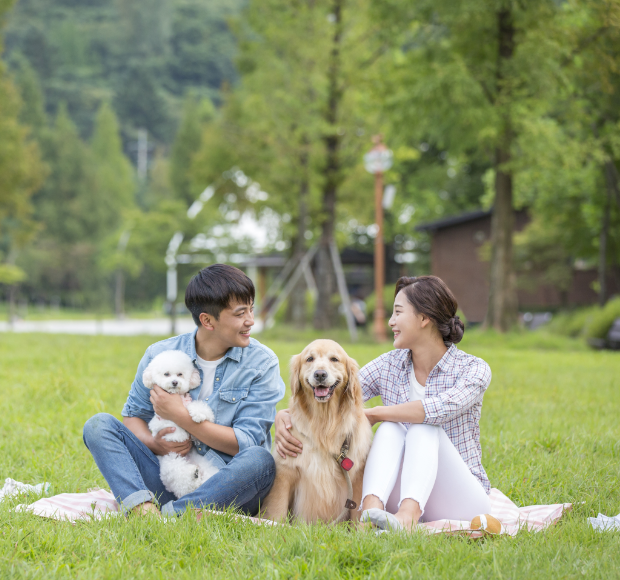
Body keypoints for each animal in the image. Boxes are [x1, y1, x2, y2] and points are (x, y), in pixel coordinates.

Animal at [144, 348, 222, 498]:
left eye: (180, 374)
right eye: (166, 374)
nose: (175, 382)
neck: (177, 397)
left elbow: (197, 408)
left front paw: (199, 414)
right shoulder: (161, 421)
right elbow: (172, 426)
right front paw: (180, 435)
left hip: (204, 464)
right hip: (172, 462)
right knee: (183, 482)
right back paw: (192, 476)